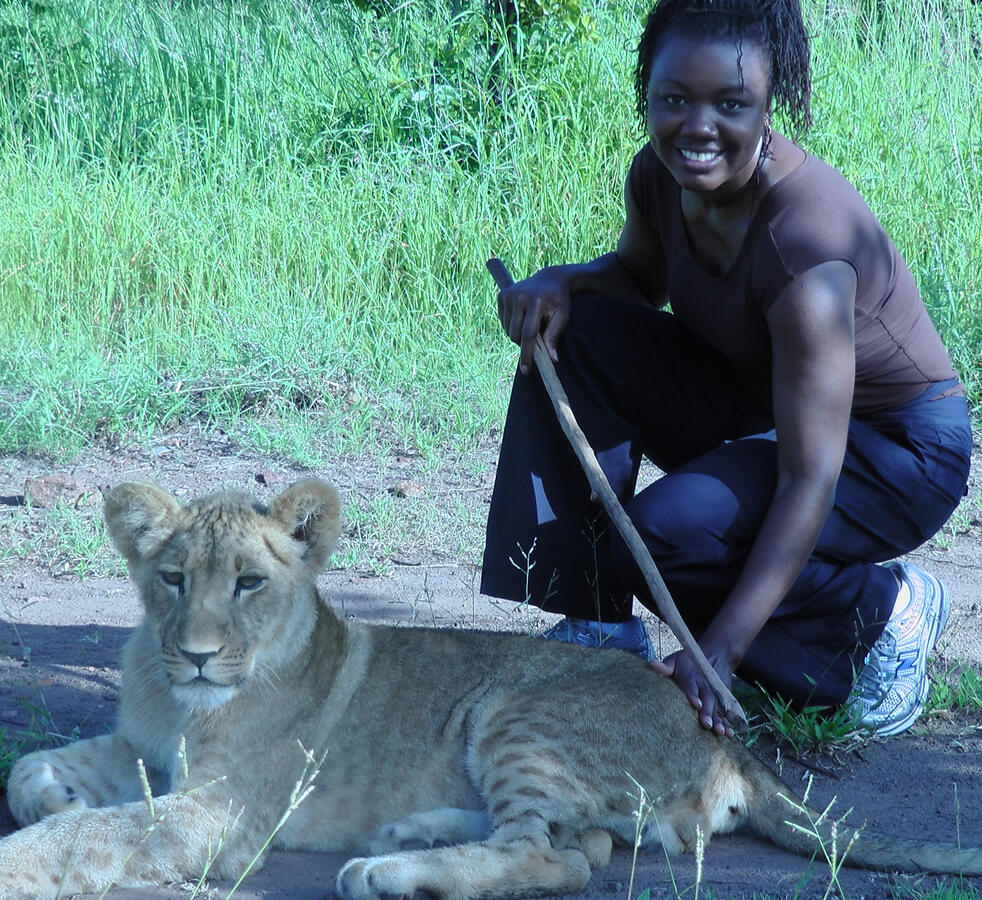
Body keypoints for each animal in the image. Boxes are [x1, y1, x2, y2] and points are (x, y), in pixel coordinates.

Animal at [2, 478, 981, 899]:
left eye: (248, 583)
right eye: (172, 579)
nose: (200, 655)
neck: (175, 693)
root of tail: (714, 731)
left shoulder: (226, 812)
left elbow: (93, 833)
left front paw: (28, 858)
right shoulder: (146, 746)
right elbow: (39, 774)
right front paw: (55, 792)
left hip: (519, 715)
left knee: (558, 859)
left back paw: (389, 871)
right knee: (582, 843)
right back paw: (413, 832)